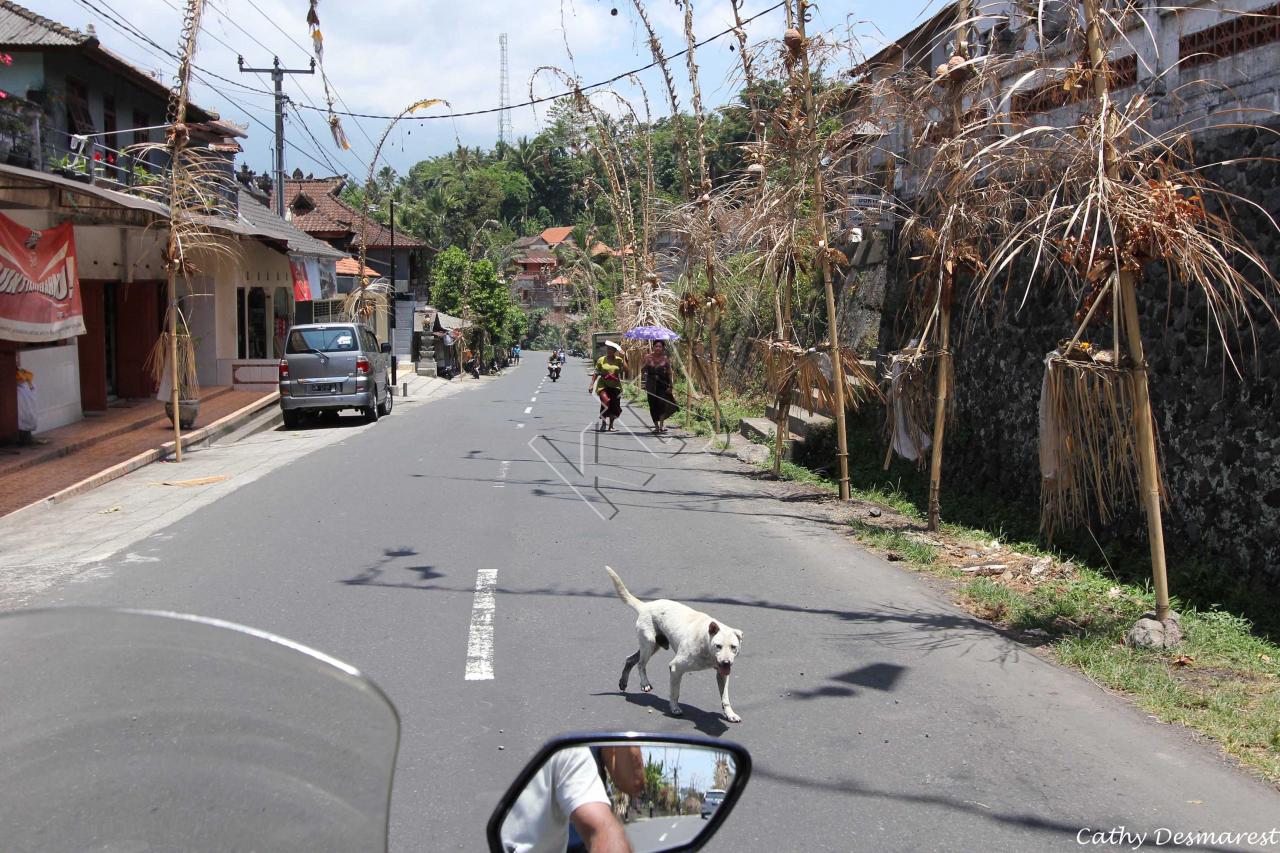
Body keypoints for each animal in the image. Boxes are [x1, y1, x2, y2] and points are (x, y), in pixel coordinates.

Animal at [606, 563, 747, 717]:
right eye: (718, 646)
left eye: (733, 647)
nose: (726, 662)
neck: (705, 643)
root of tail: (646, 605)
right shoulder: (675, 668)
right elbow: (675, 692)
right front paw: (674, 708)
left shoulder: (722, 674)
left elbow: (725, 697)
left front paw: (730, 714)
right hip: (649, 644)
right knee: (640, 664)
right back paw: (644, 683)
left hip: (654, 645)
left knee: (630, 659)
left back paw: (623, 682)